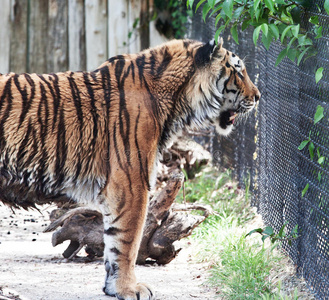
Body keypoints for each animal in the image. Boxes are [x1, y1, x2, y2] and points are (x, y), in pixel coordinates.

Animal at [1, 38, 260, 300]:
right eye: (238, 71)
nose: (258, 96)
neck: (177, 103)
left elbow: (113, 241)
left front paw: (112, 287)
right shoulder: (130, 182)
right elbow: (127, 242)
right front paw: (128, 288)